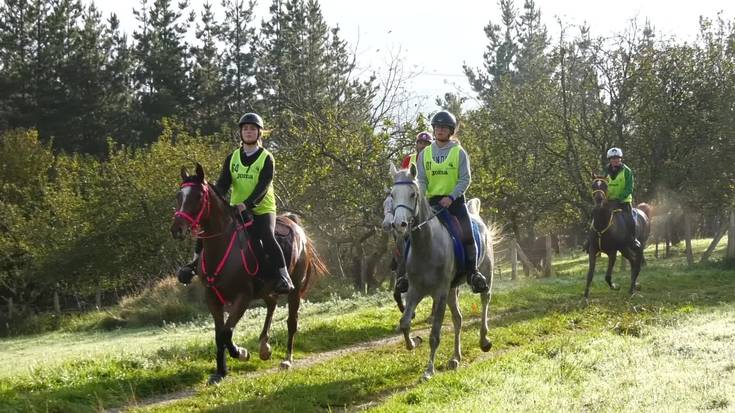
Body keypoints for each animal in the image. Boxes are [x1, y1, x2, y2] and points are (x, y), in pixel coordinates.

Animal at [172, 163, 328, 384]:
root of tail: (294, 224)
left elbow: (226, 332)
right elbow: (219, 335)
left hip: (295, 289)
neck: (221, 247)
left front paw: (241, 353)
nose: (176, 229)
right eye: (179, 195)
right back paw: (264, 347)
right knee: (271, 304)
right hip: (265, 289)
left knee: (291, 322)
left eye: (198, 196)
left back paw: (286, 360)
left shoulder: (242, 297)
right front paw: (220, 372)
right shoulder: (212, 298)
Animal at [392, 164, 494, 380]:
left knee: (485, 301)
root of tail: (475, 214)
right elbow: (404, 322)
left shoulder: (439, 293)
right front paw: (413, 342)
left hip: (485, 275)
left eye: (413, 194)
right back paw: (455, 358)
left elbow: (435, 335)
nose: (399, 225)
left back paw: (484, 341)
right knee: (458, 319)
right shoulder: (415, 291)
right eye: (392, 194)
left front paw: (428, 371)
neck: (426, 245)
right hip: (451, 291)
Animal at [588, 174, 648, 302]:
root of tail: (644, 214)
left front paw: (616, 286)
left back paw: (632, 289)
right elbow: (590, 275)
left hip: (639, 246)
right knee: (633, 261)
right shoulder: (593, 250)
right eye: (593, 185)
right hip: (624, 249)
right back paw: (634, 286)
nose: (599, 199)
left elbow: (607, 276)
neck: (602, 225)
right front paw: (585, 297)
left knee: (637, 265)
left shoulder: (612, 252)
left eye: (605, 186)